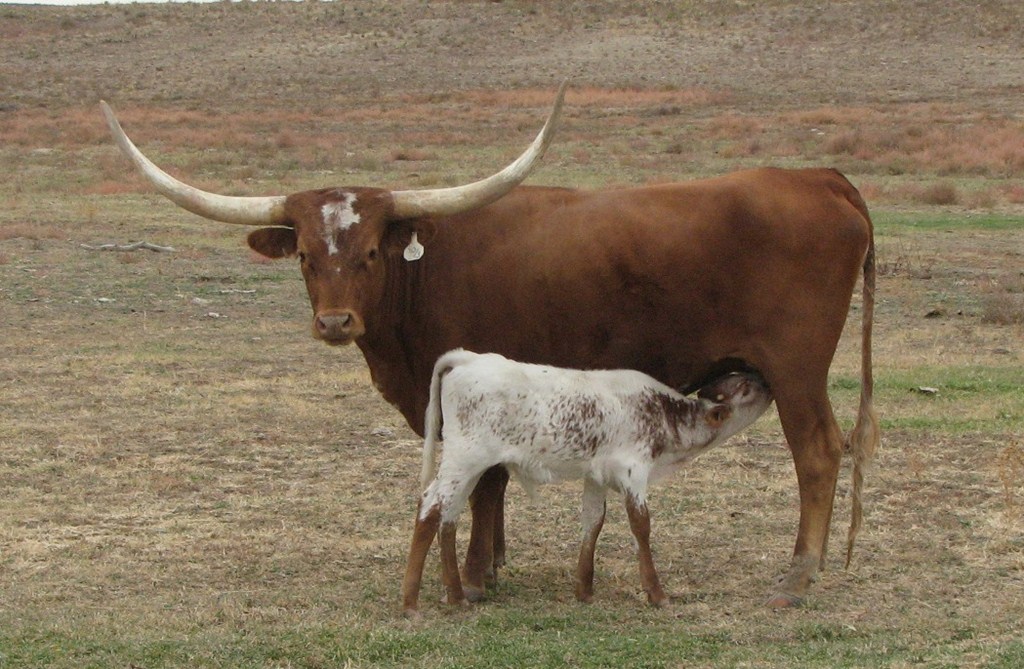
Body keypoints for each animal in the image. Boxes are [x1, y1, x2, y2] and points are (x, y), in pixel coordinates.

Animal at [401, 350, 774, 617]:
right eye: (745, 387)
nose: (766, 380)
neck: (663, 415)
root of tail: (468, 358)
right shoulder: (633, 470)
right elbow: (641, 525)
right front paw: (656, 594)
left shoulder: (597, 475)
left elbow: (593, 521)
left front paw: (584, 589)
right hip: (465, 457)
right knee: (430, 506)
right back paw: (410, 604)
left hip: (468, 464)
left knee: (448, 516)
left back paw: (455, 596)